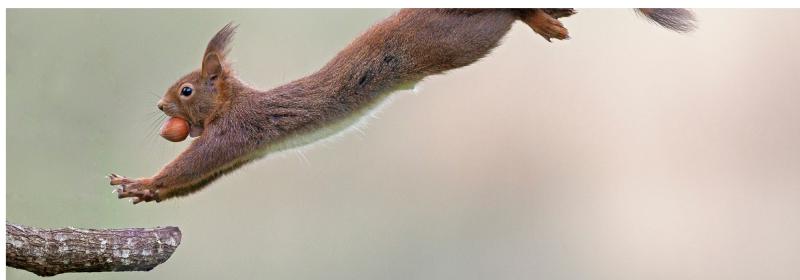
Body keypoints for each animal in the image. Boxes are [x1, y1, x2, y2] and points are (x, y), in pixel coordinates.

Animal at [109, 7, 696, 202]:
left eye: (187, 90)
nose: (160, 107)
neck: (230, 103)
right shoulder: (240, 151)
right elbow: (200, 178)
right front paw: (150, 195)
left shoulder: (236, 133)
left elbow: (193, 163)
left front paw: (141, 182)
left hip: (459, 39)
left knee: (507, 13)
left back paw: (541, 16)